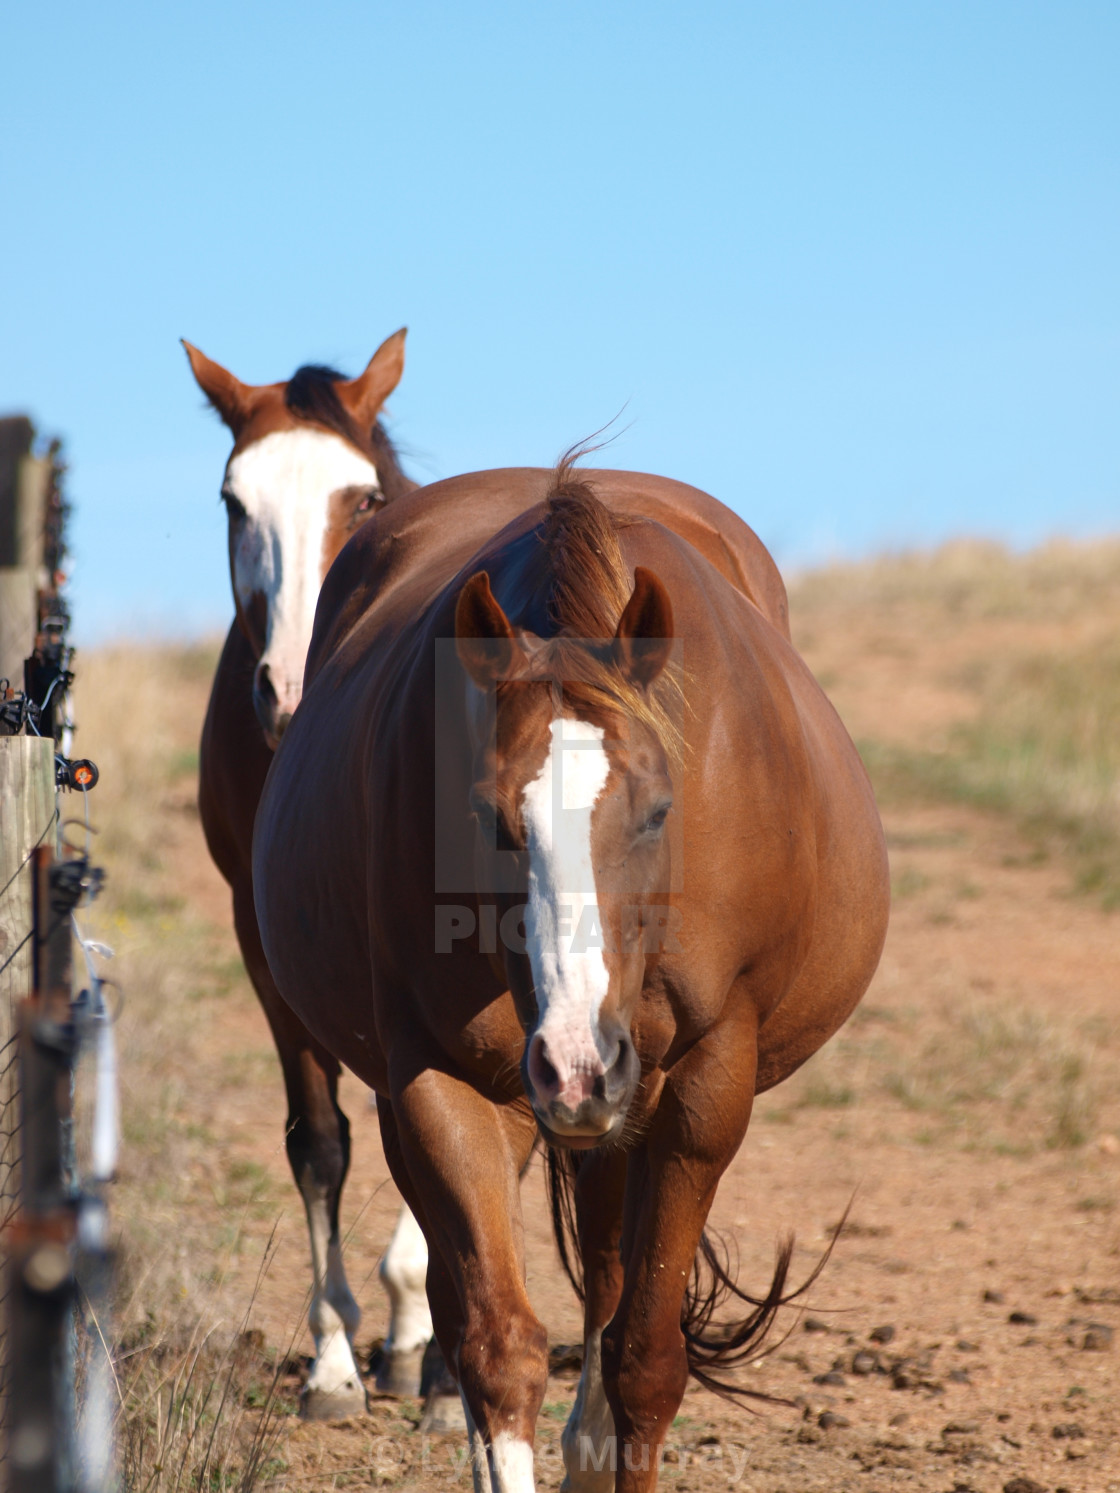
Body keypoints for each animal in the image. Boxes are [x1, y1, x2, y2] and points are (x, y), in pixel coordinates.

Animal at [256, 459, 896, 1487]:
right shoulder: (438, 1080)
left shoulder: (706, 1086)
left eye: (659, 808)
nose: (575, 1061)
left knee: (606, 1277)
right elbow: (496, 1347)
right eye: (487, 817)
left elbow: (645, 1358)